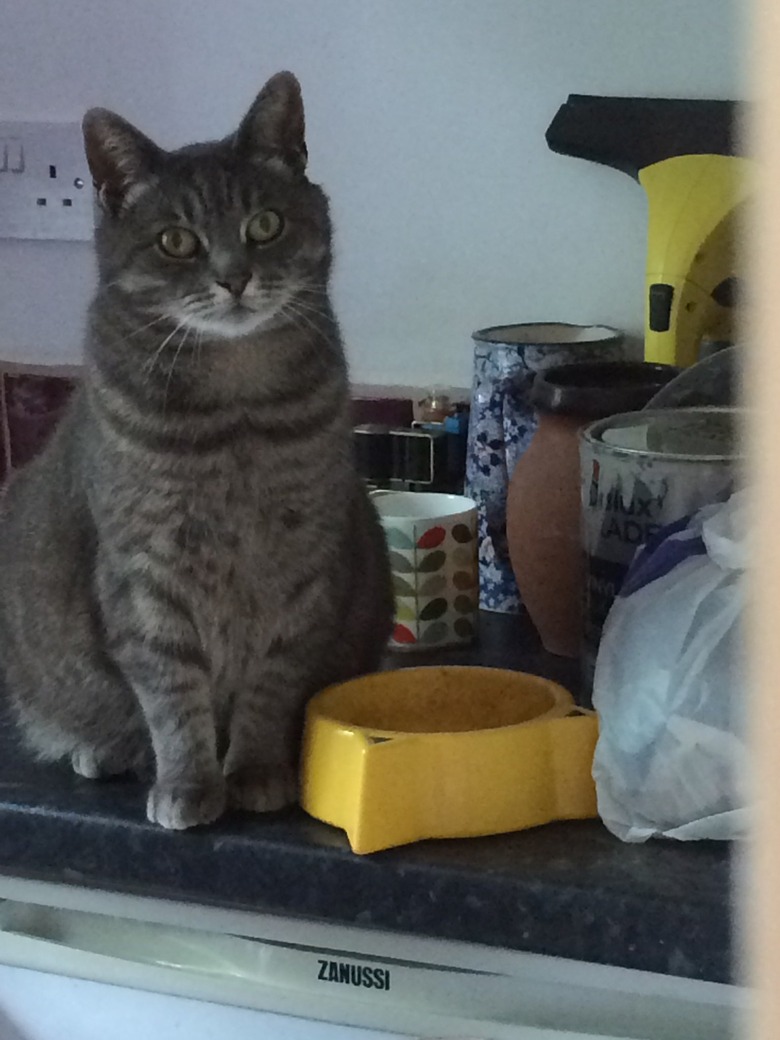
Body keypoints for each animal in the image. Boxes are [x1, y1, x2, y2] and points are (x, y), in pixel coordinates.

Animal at [0, 73, 391, 827]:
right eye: (176, 241)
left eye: (264, 225)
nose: (234, 278)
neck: (235, 414)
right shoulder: (146, 572)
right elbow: (171, 690)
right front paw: (187, 783)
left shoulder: (301, 563)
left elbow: (272, 682)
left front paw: (257, 771)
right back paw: (103, 750)